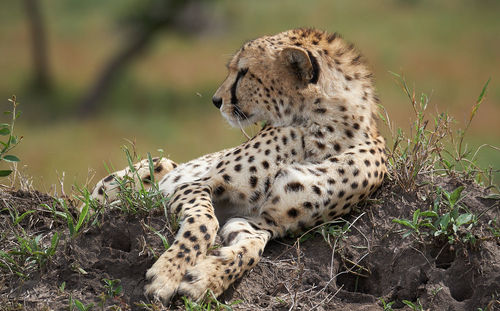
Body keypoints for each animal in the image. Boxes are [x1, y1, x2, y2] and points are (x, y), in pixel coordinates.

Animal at [91, 28, 386, 302]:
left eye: (244, 72)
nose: (216, 100)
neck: (323, 130)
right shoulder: (195, 185)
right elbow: (204, 222)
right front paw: (169, 272)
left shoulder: (262, 222)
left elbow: (252, 250)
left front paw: (206, 280)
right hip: (155, 166)